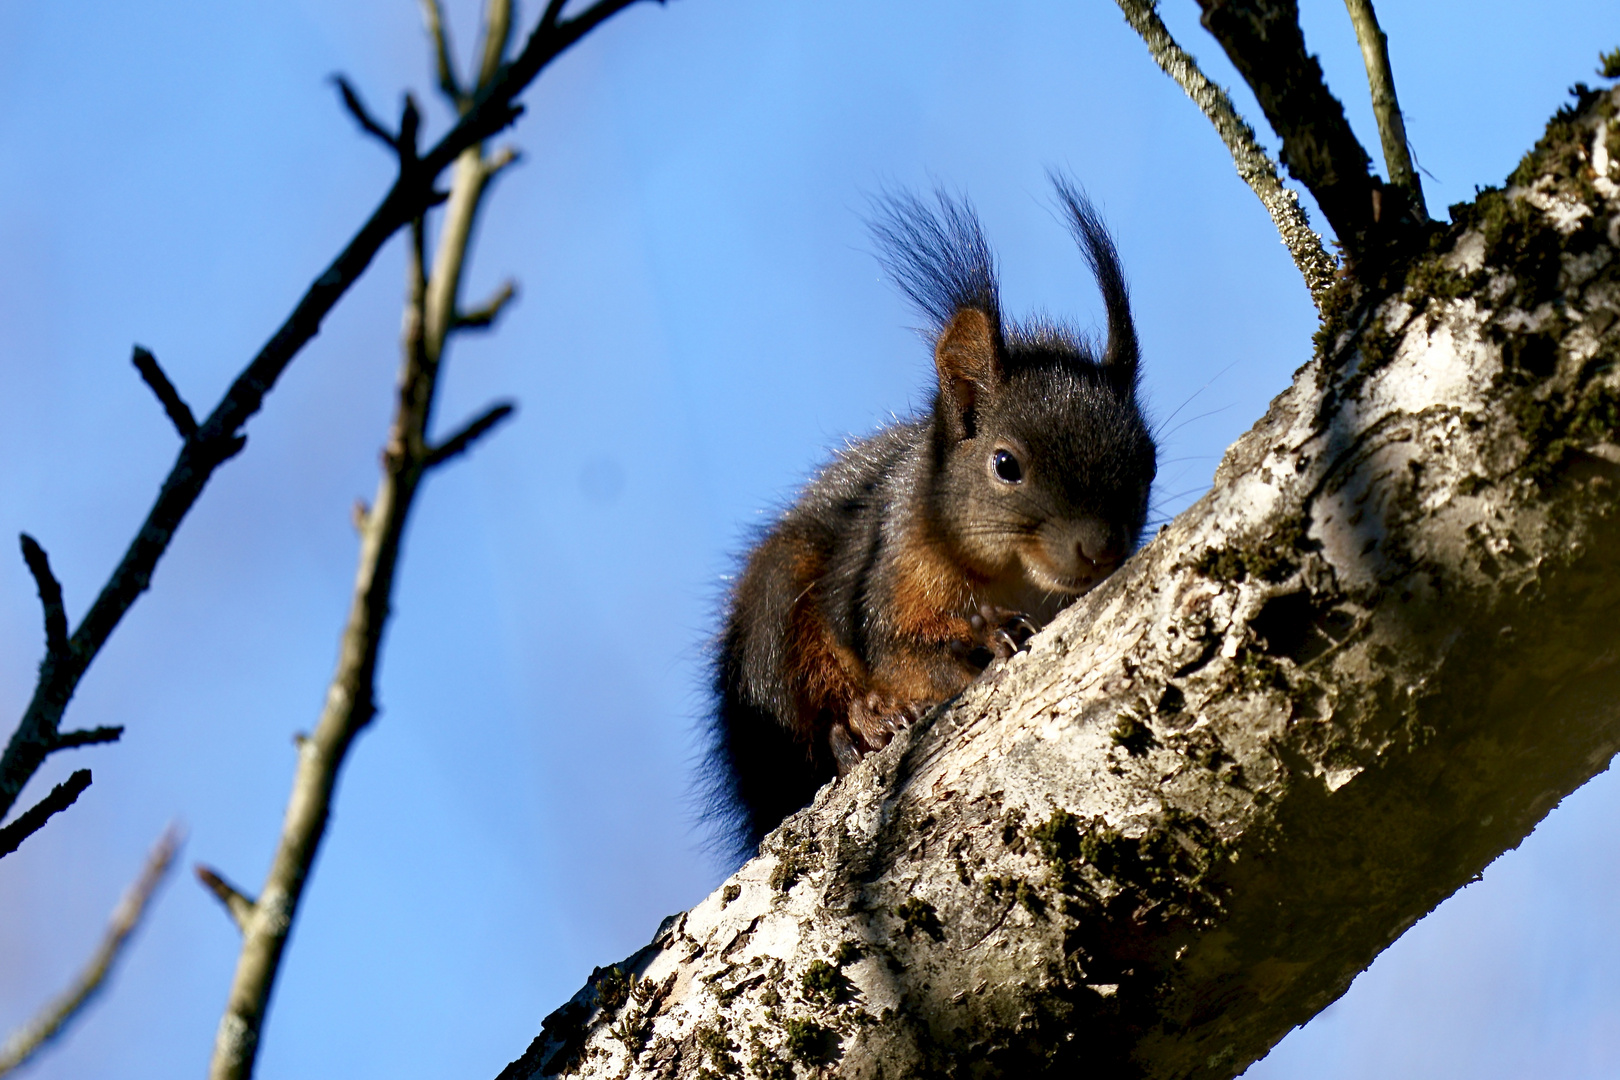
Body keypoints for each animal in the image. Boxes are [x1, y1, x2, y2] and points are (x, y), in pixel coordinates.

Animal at [706, 181, 1153, 854]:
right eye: (1006, 464)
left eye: (1148, 462)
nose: (1101, 548)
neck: (1013, 575)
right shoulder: (885, 572)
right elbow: (899, 651)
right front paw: (982, 636)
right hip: (772, 623)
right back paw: (862, 724)